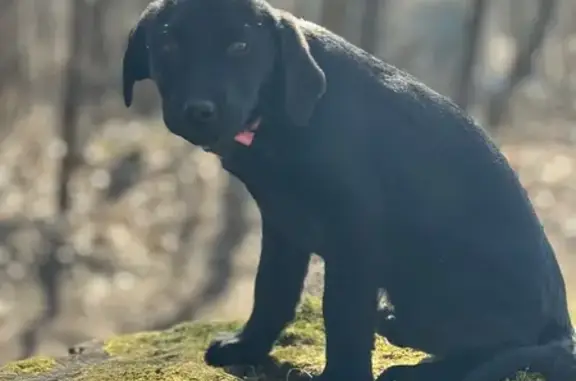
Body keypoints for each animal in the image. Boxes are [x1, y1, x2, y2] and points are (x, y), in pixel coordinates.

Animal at [122, 0, 576, 380]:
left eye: (240, 47)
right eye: (168, 47)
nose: (199, 111)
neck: (282, 118)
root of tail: (561, 328)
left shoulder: (354, 239)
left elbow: (341, 315)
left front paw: (342, 375)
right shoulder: (283, 226)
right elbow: (271, 290)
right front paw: (247, 346)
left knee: (505, 351)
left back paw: (418, 372)